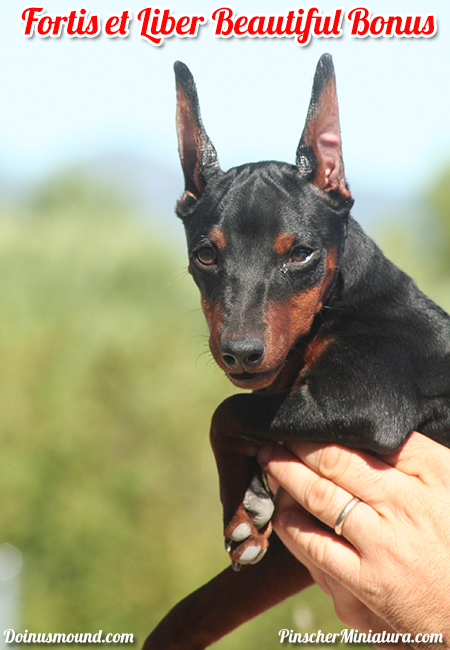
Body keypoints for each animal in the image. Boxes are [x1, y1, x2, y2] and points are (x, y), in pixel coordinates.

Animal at [144, 53, 450, 644]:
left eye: (301, 253)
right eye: (205, 254)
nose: (240, 353)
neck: (341, 299)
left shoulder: (366, 398)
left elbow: (227, 409)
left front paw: (239, 505)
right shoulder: (294, 552)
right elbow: (197, 607)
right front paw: (248, 505)